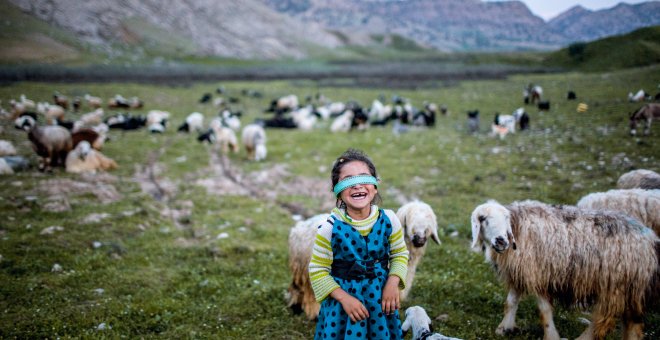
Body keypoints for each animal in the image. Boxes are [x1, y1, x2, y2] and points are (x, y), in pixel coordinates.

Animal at [472, 201, 656, 338]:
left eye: (506, 219)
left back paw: (583, 338)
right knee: (633, 322)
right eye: (483, 219)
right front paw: (504, 328)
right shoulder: (520, 273)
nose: (501, 241)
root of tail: (650, 241)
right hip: (631, 286)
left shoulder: (539, 274)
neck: (519, 228)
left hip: (615, 284)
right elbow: (510, 302)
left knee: (603, 319)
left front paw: (551, 336)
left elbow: (544, 310)